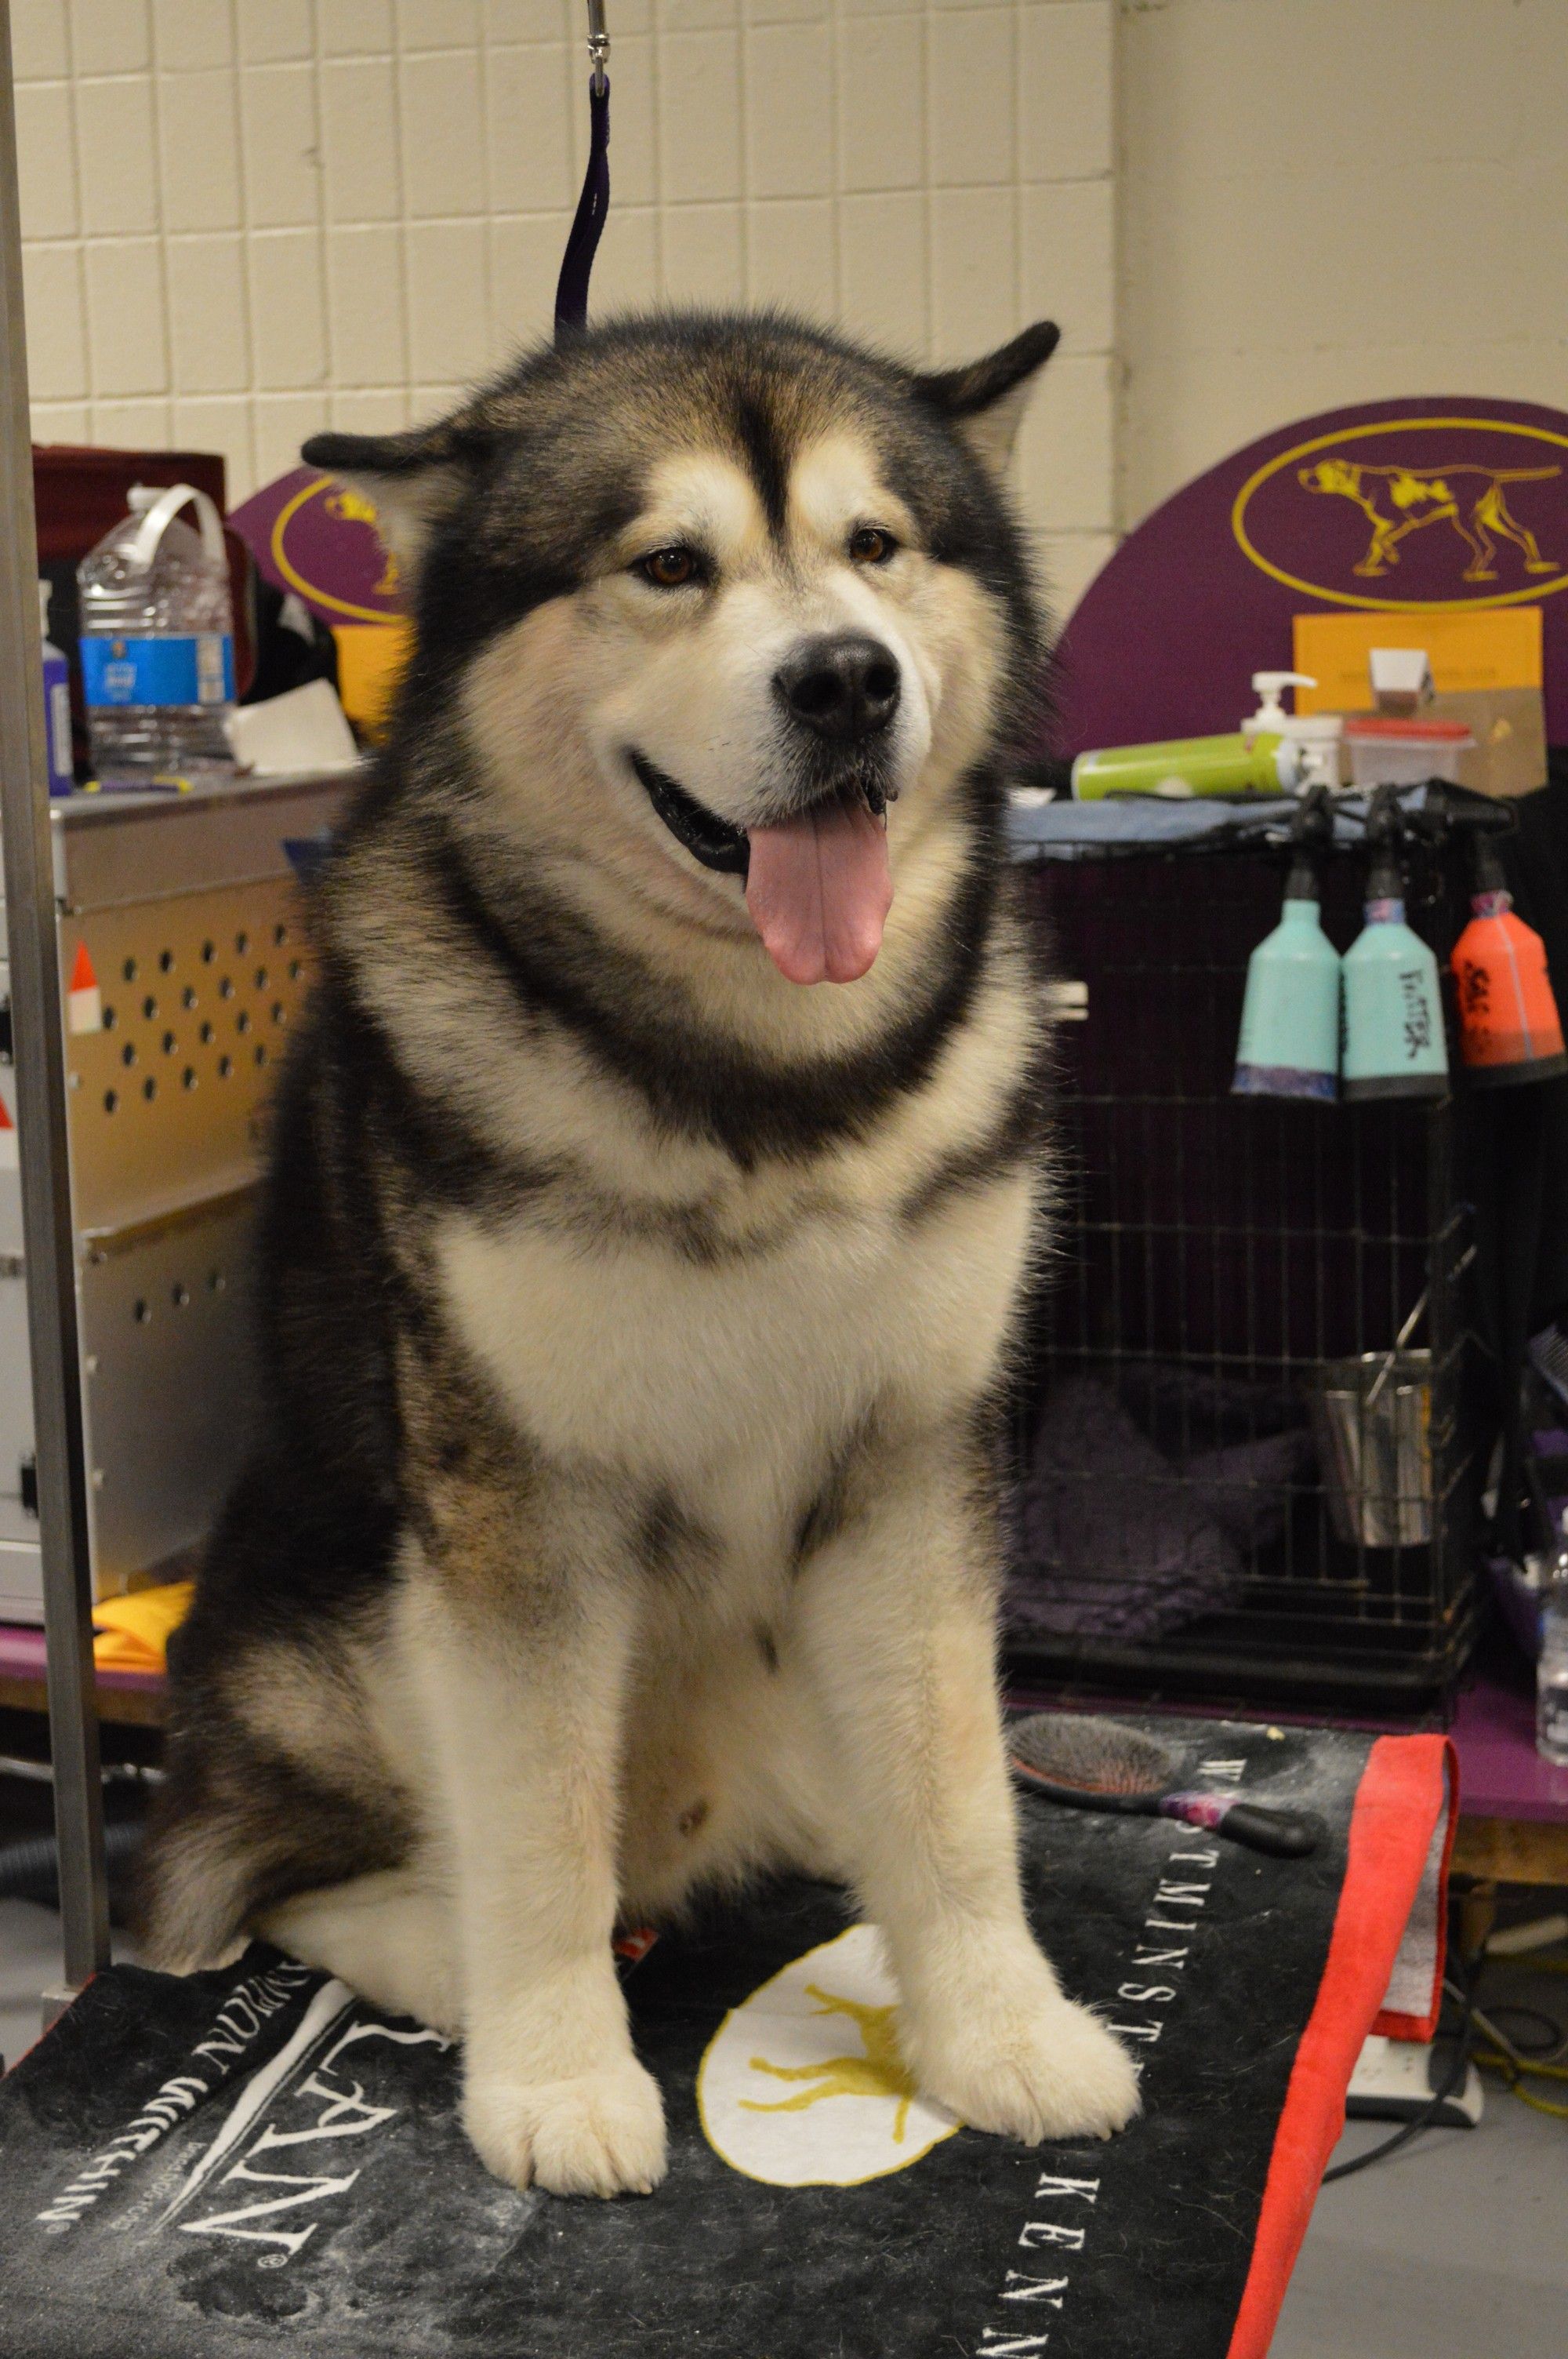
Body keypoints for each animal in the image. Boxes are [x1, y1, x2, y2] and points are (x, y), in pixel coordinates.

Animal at [137, 309, 1136, 2189]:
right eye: (669, 564)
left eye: (876, 545)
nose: (846, 680)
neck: (762, 1075)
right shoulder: (515, 1507)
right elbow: (536, 1830)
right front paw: (553, 2075)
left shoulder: (913, 1464)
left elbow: (958, 1794)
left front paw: (1000, 2028)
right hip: (340, 1642)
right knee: (254, 1882)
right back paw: (444, 1958)